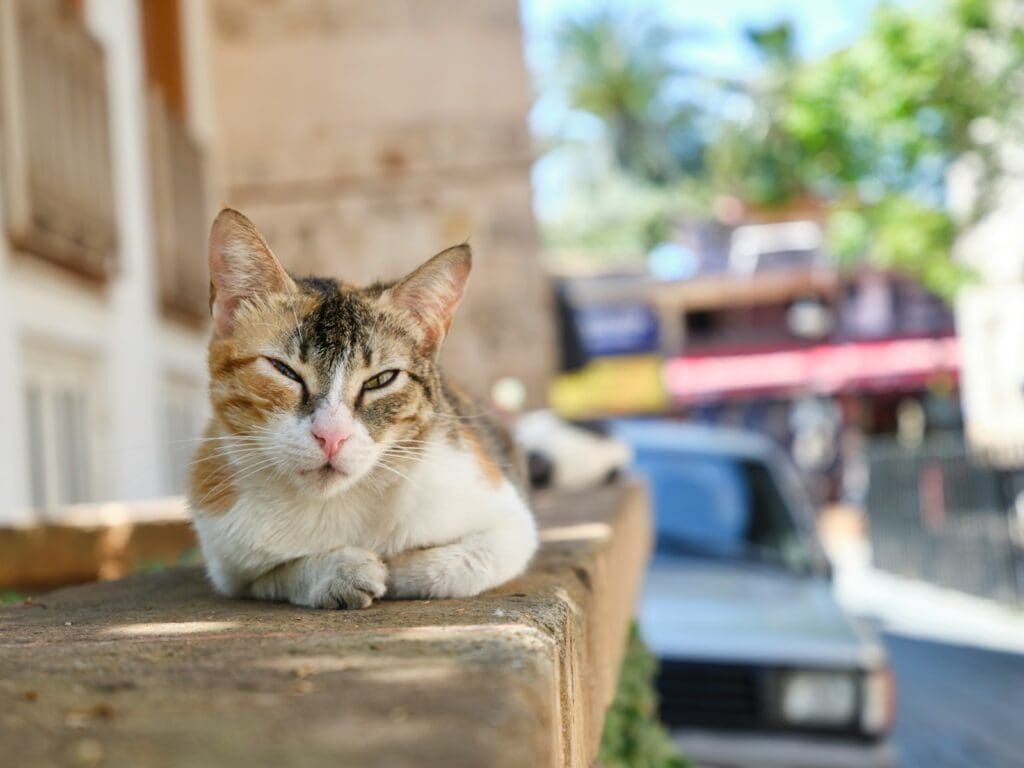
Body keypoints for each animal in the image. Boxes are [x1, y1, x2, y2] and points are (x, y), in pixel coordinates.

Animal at [187, 207, 536, 610]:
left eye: (380, 380)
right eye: (284, 370)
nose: (331, 436)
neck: (334, 503)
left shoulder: (508, 519)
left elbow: (465, 563)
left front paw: (397, 568)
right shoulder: (229, 563)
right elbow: (273, 575)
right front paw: (339, 571)